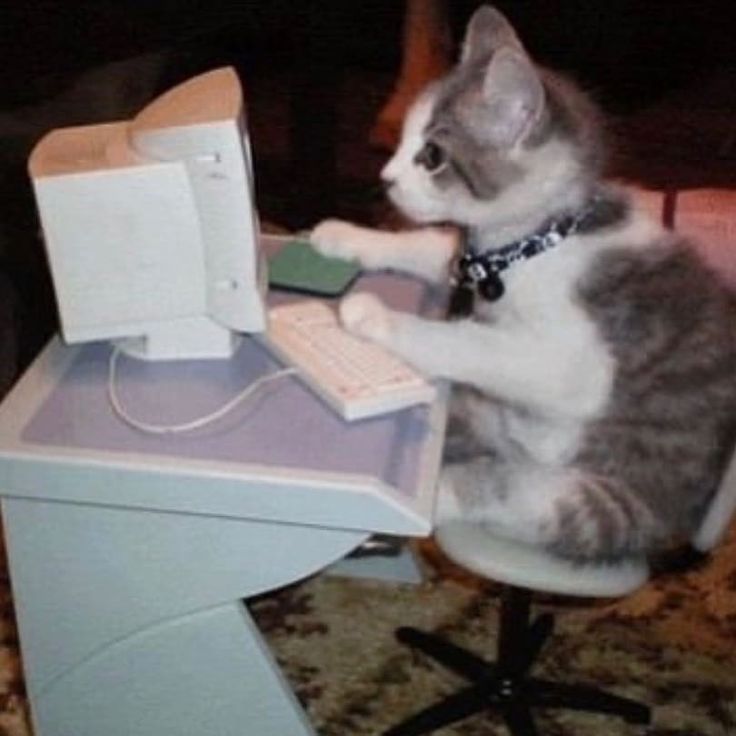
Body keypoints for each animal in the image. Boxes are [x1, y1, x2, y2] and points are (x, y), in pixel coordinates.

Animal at [308, 4, 736, 564]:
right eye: (401, 139)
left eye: (431, 155)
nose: (385, 177)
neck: (534, 243)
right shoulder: (469, 262)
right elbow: (429, 246)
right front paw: (344, 235)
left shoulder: (577, 365)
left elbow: (471, 341)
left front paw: (372, 315)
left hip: (597, 501)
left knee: (508, 491)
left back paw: (426, 504)